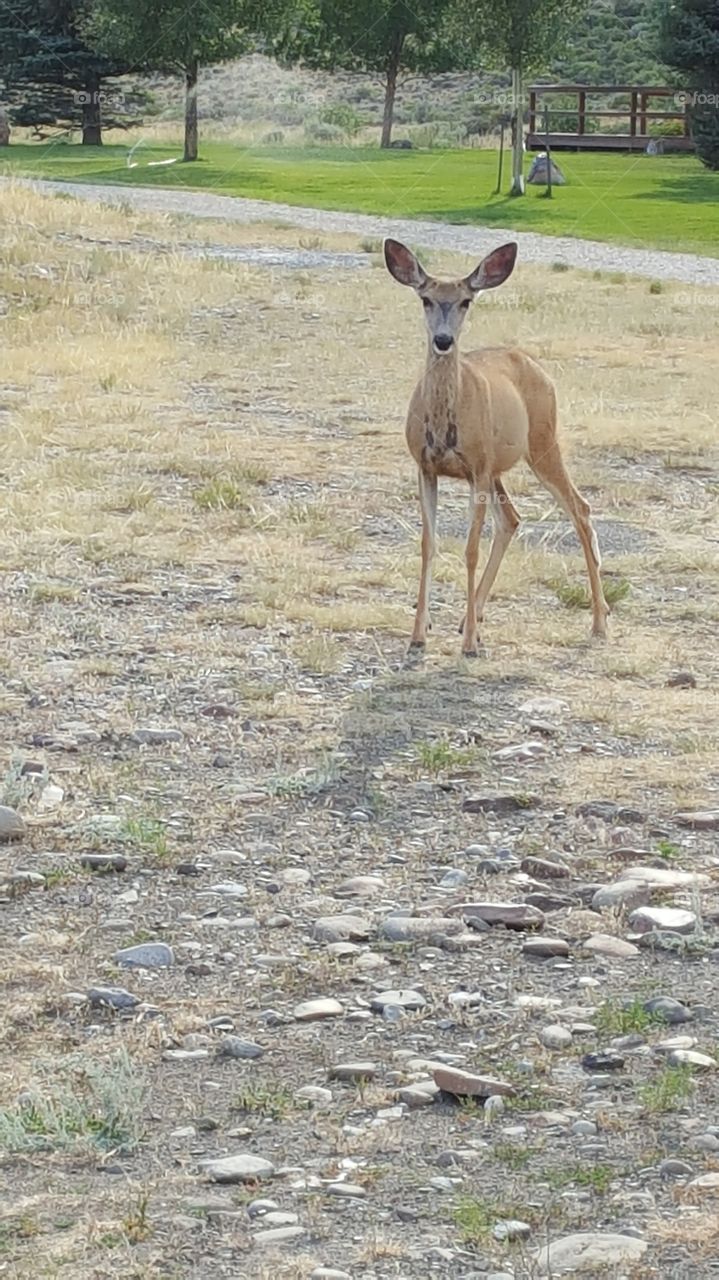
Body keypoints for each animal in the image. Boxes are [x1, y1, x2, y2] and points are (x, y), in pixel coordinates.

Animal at [383, 237, 609, 658]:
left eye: (466, 301)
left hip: (541, 441)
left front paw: (469, 645)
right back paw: (470, 619)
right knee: (512, 519)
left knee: (580, 509)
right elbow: (427, 544)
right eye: (425, 298)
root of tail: (536, 366)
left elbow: (470, 549)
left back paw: (600, 622)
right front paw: (419, 635)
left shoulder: (476, 469)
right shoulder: (426, 467)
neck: (444, 423)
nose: (443, 340)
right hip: (499, 467)